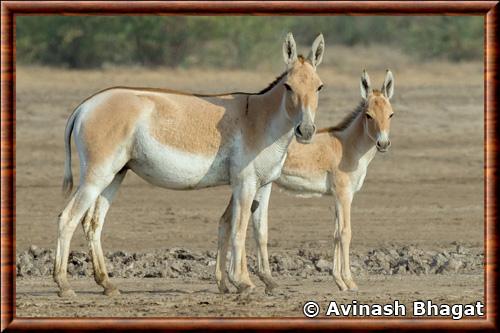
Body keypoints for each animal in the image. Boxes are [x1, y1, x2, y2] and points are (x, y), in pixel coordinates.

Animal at [55, 33, 328, 296]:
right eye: (288, 86)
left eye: (319, 87)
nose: (306, 131)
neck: (260, 120)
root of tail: (85, 105)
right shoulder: (245, 183)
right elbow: (239, 229)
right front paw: (243, 283)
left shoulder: (264, 184)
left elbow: (259, 232)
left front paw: (267, 282)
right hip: (96, 175)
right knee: (67, 217)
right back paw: (64, 285)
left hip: (116, 174)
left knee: (93, 223)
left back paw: (107, 285)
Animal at [217, 69, 396, 290]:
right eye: (368, 115)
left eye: (390, 114)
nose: (383, 143)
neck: (347, 147)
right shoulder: (344, 194)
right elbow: (345, 233)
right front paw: (350, 282)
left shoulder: (336, 196)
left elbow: (335, 234)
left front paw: (339, 282)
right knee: (232, 223)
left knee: (226, 222)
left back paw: (224, 283)